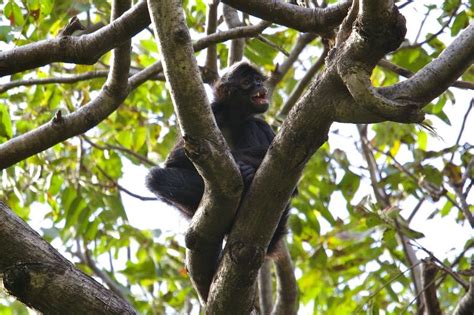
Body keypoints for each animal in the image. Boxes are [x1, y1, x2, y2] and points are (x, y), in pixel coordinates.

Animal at [146, 62, 288, 256]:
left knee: (251, 124)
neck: (233, 119)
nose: (259, 85)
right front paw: (244, 170)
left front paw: (247, 168)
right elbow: (174, 161)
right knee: (155, 178)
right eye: (247, 82)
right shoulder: (215, 111)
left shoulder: (261, 122)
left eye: (258, 79)